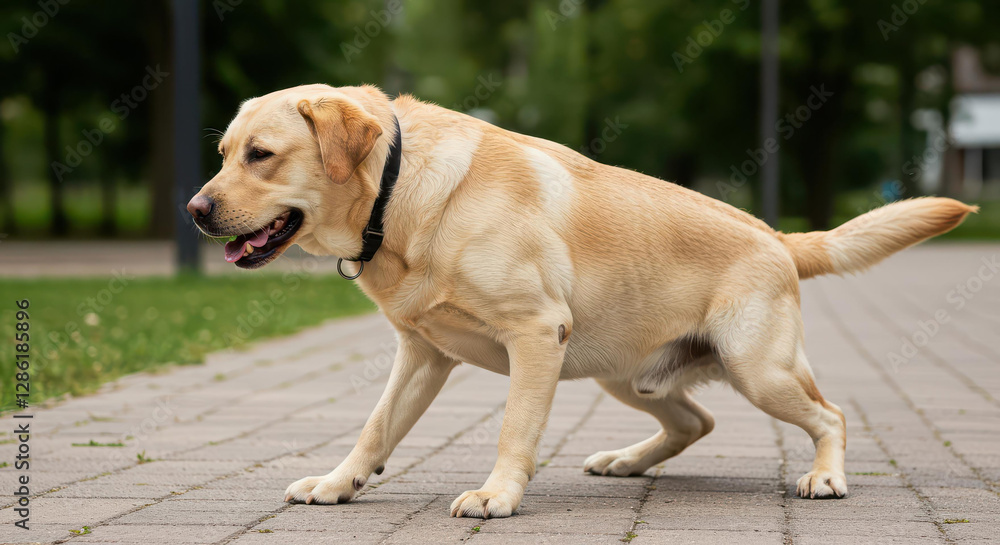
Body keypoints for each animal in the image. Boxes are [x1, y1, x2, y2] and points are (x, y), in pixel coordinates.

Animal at [187, 84, 976, 518]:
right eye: (224, 152)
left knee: (830, 414)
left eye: (260, 155)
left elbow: (514, 431)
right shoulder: (422, 353)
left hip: (759, 369)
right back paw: (627, 462)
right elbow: (375, 430)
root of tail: (776, 235)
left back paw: (825, 476)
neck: (399, 190)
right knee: (696, 419)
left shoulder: (537, 334)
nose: (194, 210)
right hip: (621, 373)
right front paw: (338, 484)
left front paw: (498, 496)